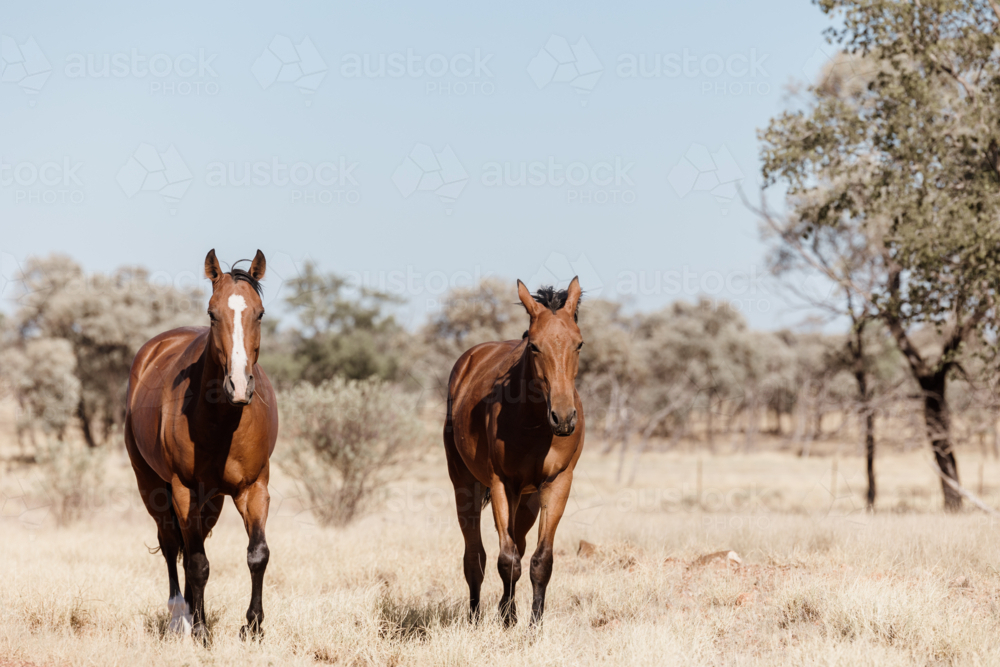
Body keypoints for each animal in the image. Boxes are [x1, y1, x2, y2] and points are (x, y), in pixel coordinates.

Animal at [124, 249, 278, 641]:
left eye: (260, 313)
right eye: (212, 312)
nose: (238, 385)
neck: (223, 419)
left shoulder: (254, 488)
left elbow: (257, 554)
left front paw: (253, 626)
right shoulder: (183, 490)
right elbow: (195, 562)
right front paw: (200, 632)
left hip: (213, 500)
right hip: (151, 485)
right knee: (171, 544)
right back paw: (181, 617)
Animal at [444, 277, 585, 626]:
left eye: (579, 344)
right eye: (534, 345)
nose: (564, 418)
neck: (534, 424)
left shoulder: (557, 484)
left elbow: (540, 561)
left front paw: (533, 624)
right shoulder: (501, 484)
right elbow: (506, 559)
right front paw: (507, 622)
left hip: (528, 499)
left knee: (518, 547)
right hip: (464, 483)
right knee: (475, 556)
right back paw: (476, 617)